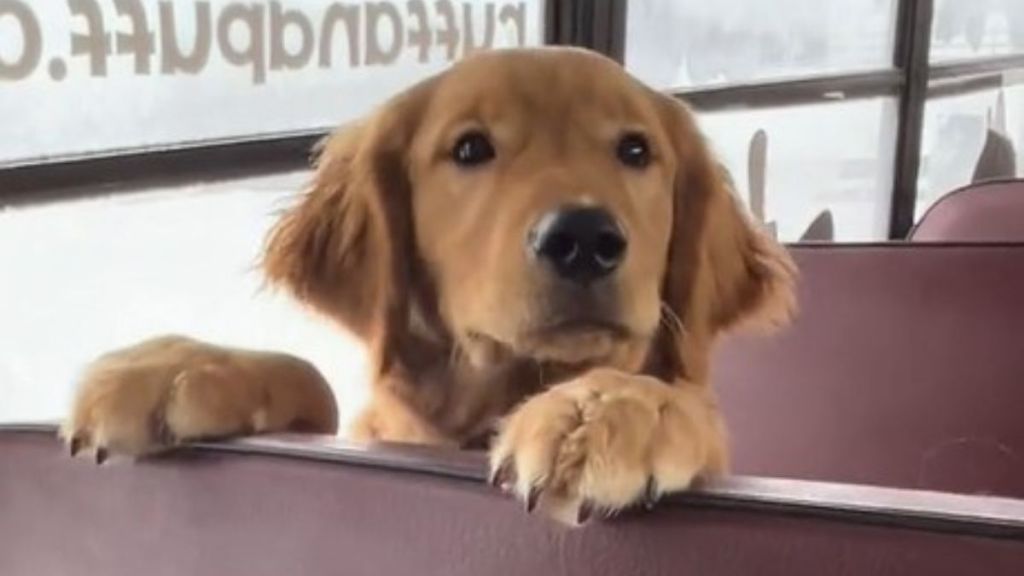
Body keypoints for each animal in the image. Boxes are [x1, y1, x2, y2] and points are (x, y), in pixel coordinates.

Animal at [61, 48, 798, 524]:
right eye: (469, 149)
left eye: (636, 151)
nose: (585, 238)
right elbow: (314, 381)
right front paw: (176, 365)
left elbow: (686, 403)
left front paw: (613, 408)